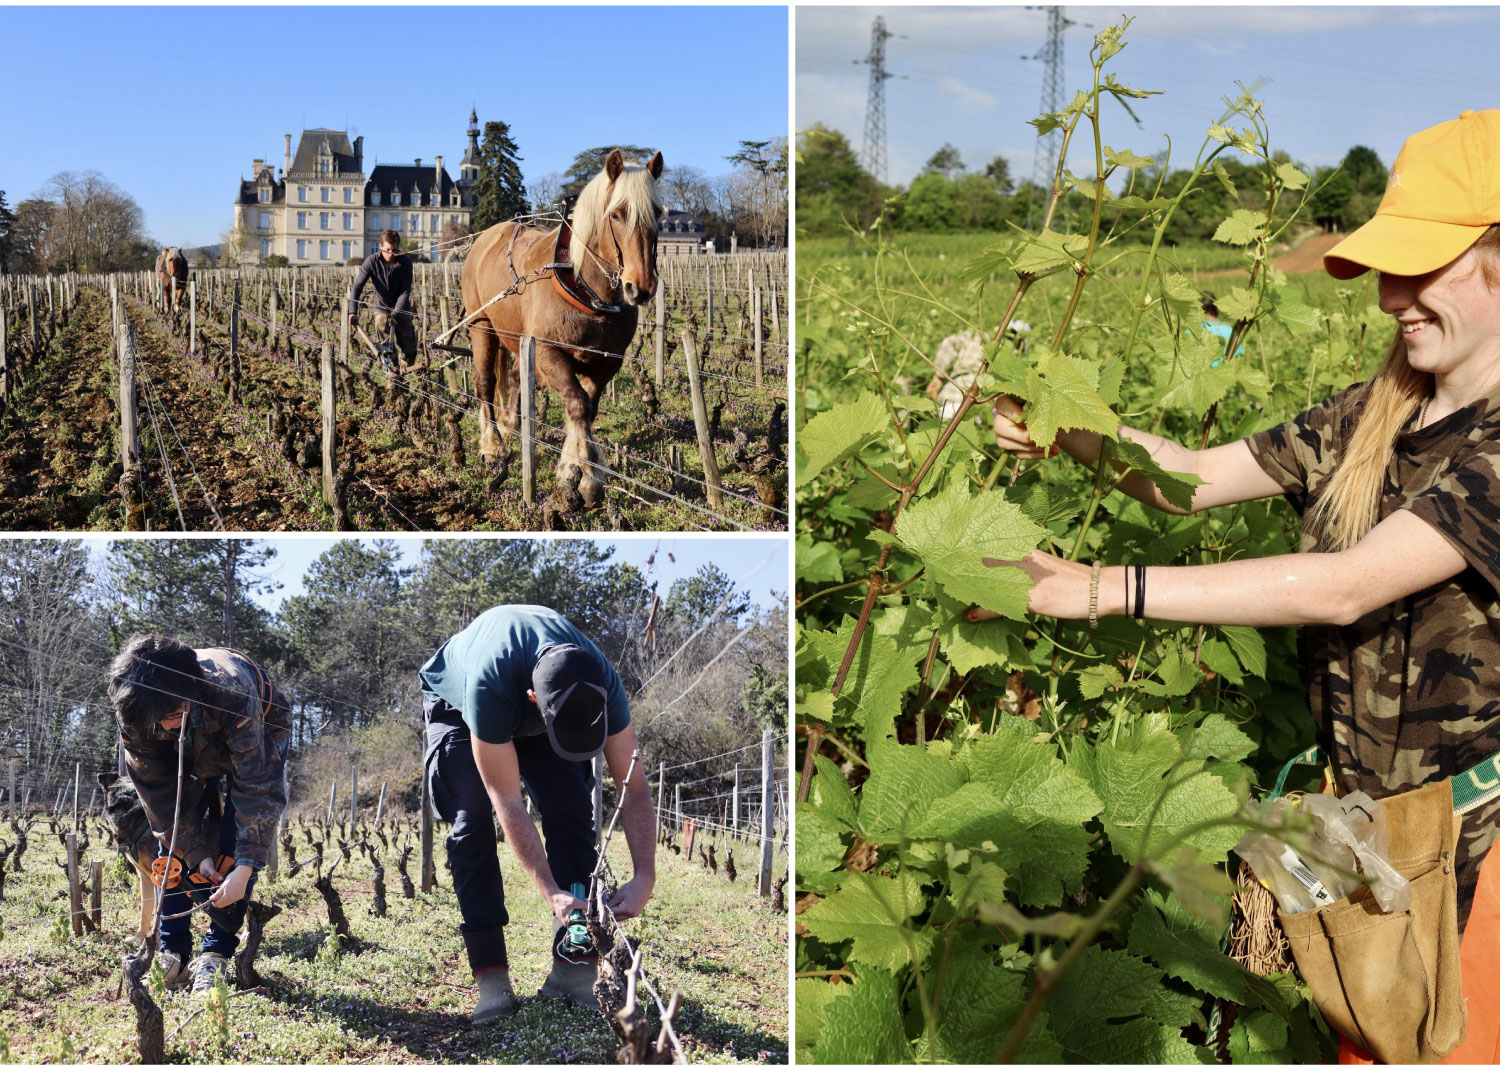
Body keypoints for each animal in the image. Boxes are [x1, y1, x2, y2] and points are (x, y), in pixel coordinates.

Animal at [462, 146, 663, 509]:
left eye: (657, 212)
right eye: (617, 215)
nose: (640, 287)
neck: (589, 290)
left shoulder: (607, 361)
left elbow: (587, 408)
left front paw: (582, 471)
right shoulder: (548, 352)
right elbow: (576, 403)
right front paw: (582, 476)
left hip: (515, 336)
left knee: (515, 379)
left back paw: (512, 426)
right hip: (481, 325)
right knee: (485, 383)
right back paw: (493, 445)